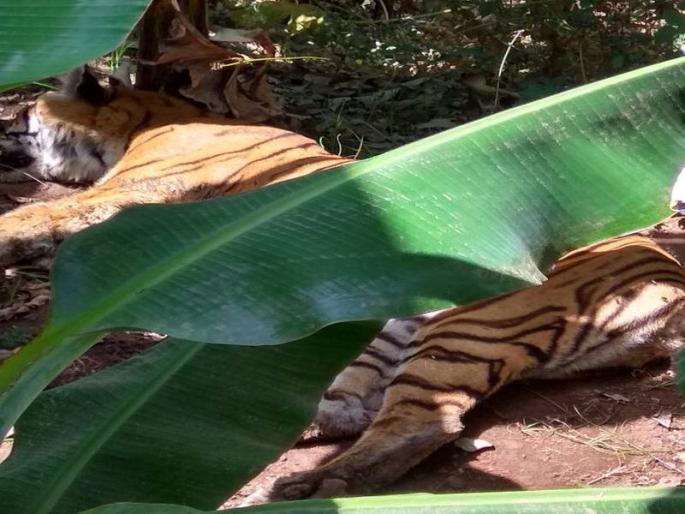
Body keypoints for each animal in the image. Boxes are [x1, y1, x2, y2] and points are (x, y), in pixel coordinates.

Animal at [1, 66, 685, 503]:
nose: (5, 121)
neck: (148, 121)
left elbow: (29, 219)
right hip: (384, 327)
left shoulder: (128, 195)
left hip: (469, 322)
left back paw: (315, 485)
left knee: (420, 423)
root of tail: (669, 280)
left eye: (18, 114)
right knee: (341, 408)